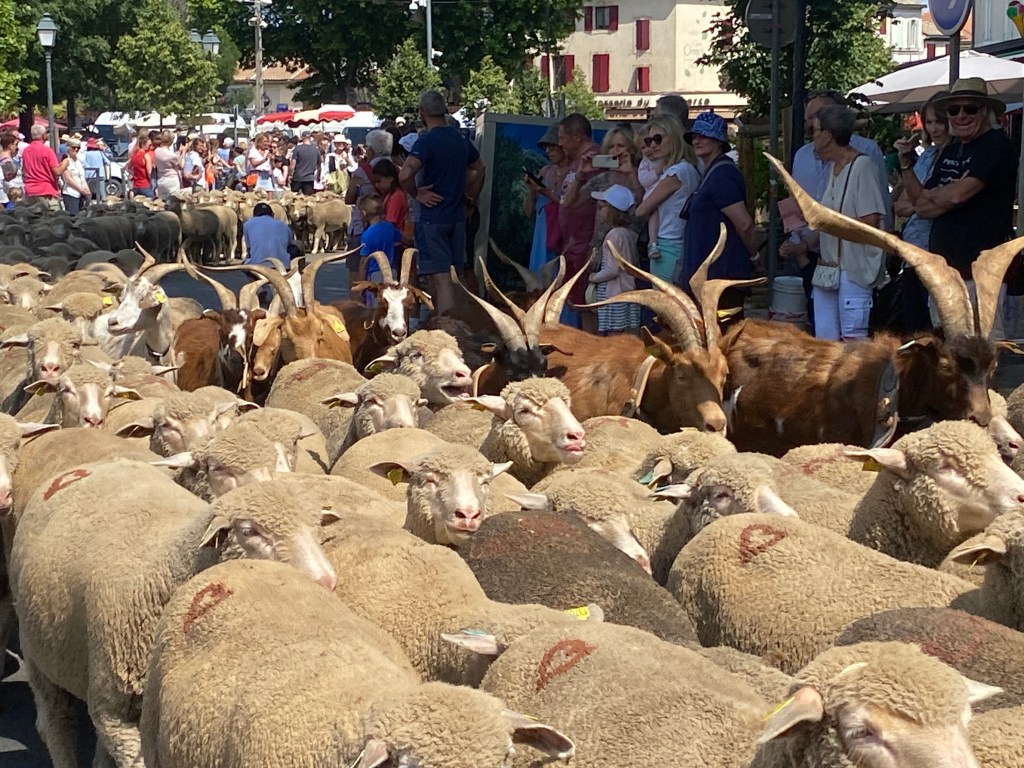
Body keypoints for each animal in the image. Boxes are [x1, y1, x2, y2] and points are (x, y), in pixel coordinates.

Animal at [10, 464, 340, 768]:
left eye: (318, 528)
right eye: (249, 531)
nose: (327, 582)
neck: (168, 568)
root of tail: (86, 467)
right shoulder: (116, 715)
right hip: (37, 652)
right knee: (57, 722)